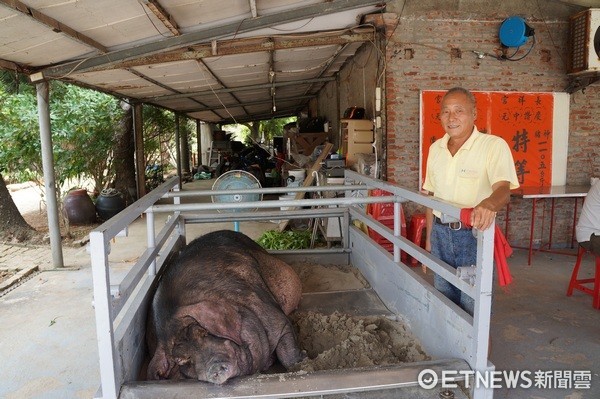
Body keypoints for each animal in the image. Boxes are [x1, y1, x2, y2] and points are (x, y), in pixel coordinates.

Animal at [146, 230, 304, 386]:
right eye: (182, 360)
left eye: (204, 333)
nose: (214, 368)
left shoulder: (270, 313)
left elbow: (287, 351)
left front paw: (301, 361)